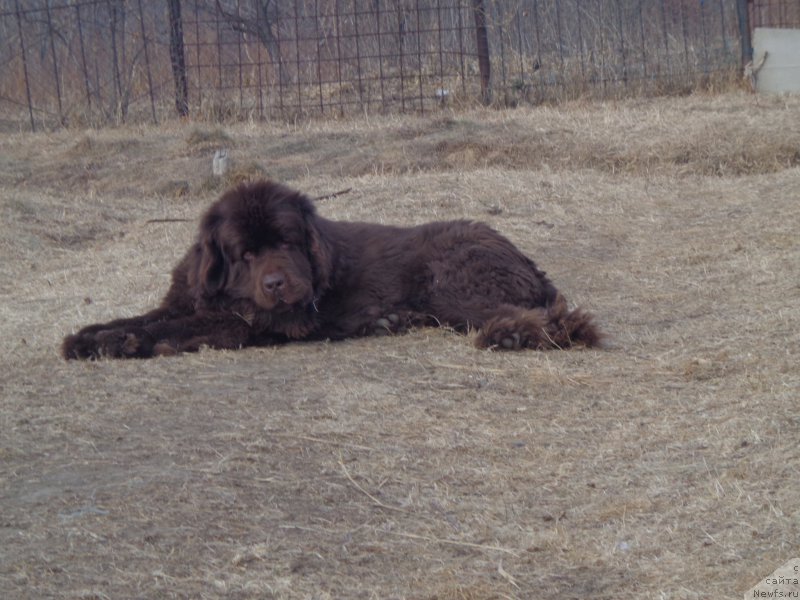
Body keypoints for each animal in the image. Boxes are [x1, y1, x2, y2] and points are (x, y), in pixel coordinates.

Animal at [62, 178, 600, 356]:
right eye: (245, 254)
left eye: (287, 241)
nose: (276, 283)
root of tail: (521, 254)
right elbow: (146, 316)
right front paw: (89, 335)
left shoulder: (238, 324)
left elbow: (169, 327)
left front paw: (115, 342)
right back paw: (390, 321)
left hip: (452, 283)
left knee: (553, 318)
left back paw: (515, 336)